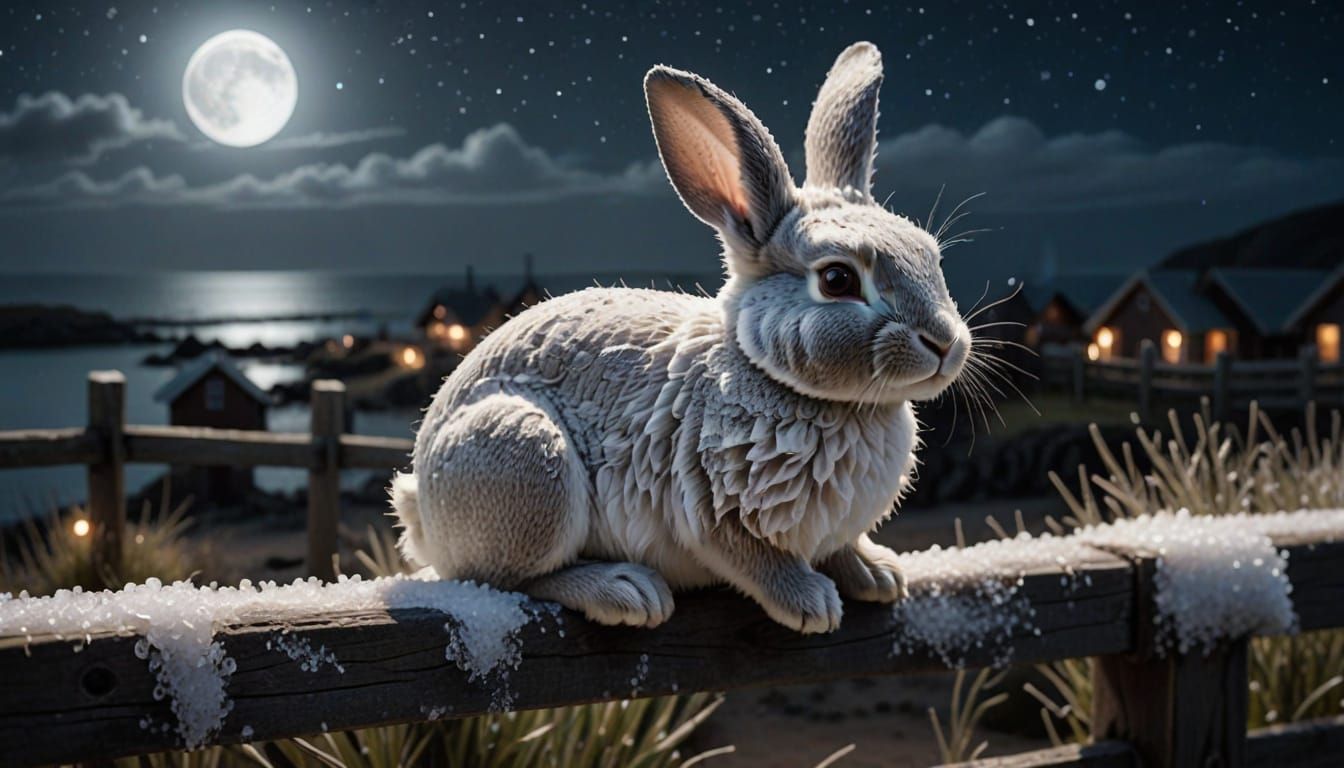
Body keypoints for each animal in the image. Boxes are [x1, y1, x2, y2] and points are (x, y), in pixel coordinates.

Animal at [390, 41, 971, 634]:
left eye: (930, 254)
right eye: (837, 280)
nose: (946, 345)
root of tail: (422, 500)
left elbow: (840, 547)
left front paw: (877, 575)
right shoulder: (713, 508)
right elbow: (757, 561)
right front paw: (810, 604)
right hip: (527, 461)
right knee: (508, 579)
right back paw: (625, 591)